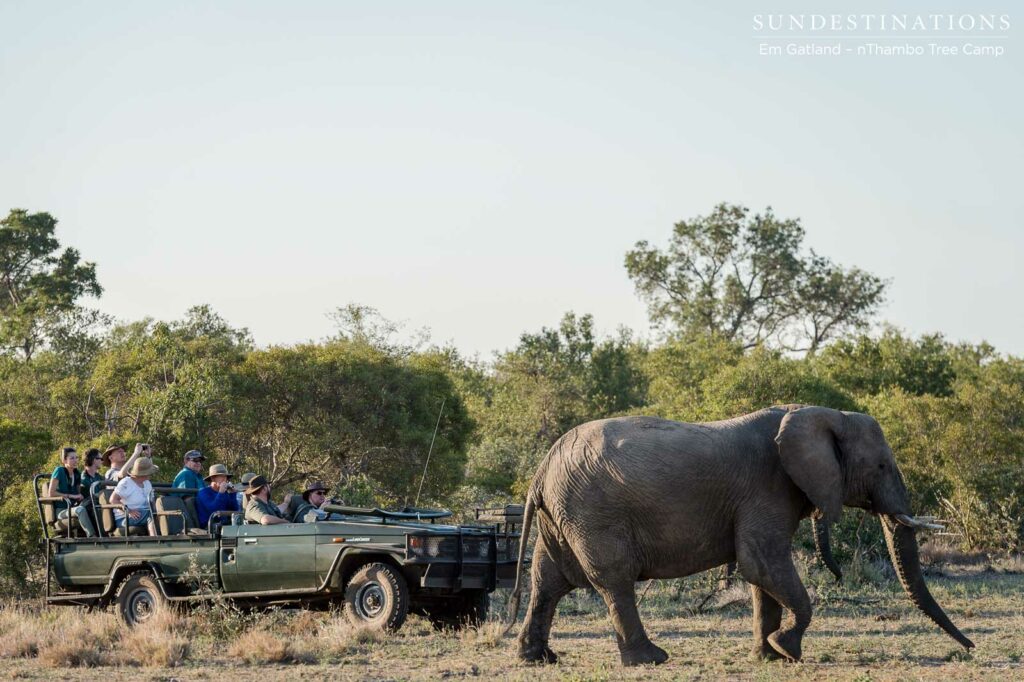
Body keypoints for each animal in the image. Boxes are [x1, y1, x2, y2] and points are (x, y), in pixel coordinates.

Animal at [506, 405, 973, 666]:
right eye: (880, 467)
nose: (968, 649)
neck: (818, 413)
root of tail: (540, 472)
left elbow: (761, 576)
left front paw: (769, 655)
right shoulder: (767, 486)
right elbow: (760, 562)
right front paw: (788, 649)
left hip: (563, 516)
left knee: (548, 581)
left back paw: (538, 659)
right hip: (594, 513)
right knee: (614, 580)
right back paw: (650, 660)